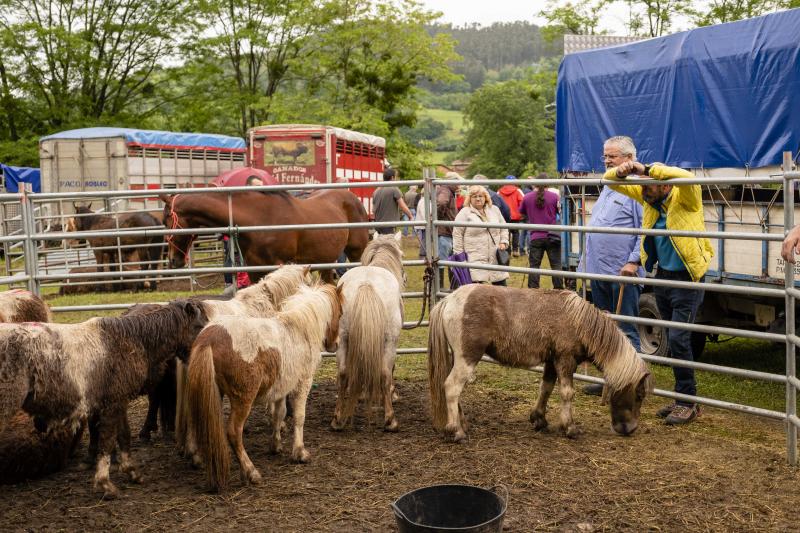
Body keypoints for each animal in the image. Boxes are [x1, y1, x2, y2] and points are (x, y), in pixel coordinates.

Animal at [0, 302, 209, 496]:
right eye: (200, 326)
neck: (132, 340)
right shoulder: (112, 404)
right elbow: (107, 441)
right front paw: (104, 484)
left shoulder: (119, 401)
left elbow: (123, 436)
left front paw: (132, 472)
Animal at [160, 188, 372, 282]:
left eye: (165, 221)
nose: (173, 260)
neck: (257, 219)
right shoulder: (254, 269)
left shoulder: (277, 267)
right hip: (325, 261)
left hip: (355, 252)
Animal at [189, 282, 342, 490]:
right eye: (340, 313)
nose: (335, 344)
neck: (298, 330)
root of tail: (209, 339)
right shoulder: (302, 384)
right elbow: (299, 417)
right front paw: (300, 453)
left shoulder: (281, 390)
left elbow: (279, 414)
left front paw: (275, 445)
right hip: (243, 400)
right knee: (233, 432)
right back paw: (251, 472)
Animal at [332, 233, 406, 432]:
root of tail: (366, 284)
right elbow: (389, 371)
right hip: (389, 341)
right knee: (384, 372)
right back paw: (390, 420)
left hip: (343, 339)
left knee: (343, 373)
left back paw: (337, 419)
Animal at [428, 284, 652, 442]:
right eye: (639, 396)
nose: (631, 429)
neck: (579, 322)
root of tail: (449, 300)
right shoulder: (565, 360)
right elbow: (567, 393)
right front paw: (570, 428)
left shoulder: (552, 362)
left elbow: (546, 388)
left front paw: (539, 419)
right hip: (467, 358)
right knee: (452, 388)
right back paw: (457, 431)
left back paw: (463, 424)